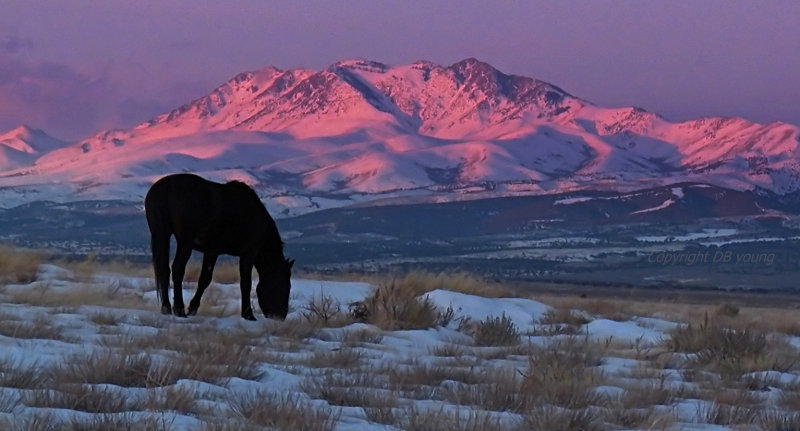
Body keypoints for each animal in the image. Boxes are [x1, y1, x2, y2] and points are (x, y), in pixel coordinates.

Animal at [145, 175, 294, 320]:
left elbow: (204, 279)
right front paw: (248, 314)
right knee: (177, 269)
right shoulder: (248, 253)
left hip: (162, 235)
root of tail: (162, 190)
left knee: (164, 270)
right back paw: (179, 309)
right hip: (185, 243)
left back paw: (166, 308)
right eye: (285, 285)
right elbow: (246, 283)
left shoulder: (212, 252)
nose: (281, 316)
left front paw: (193, 308)